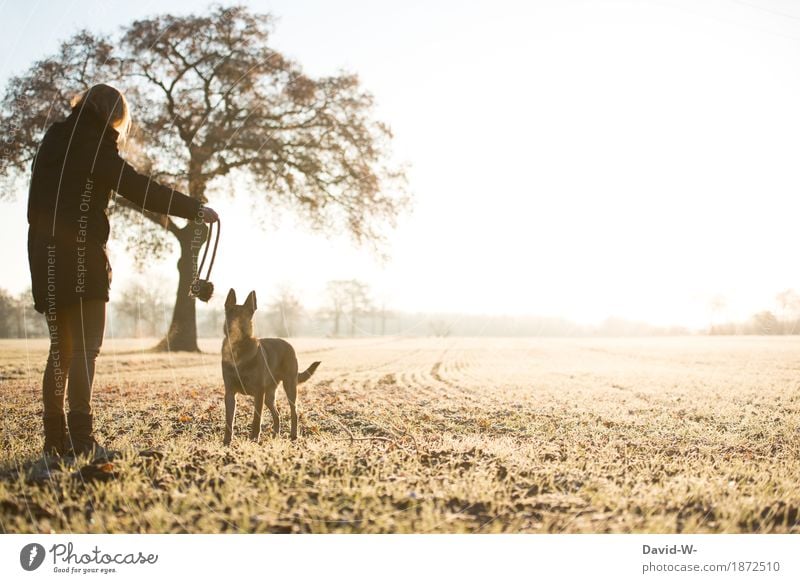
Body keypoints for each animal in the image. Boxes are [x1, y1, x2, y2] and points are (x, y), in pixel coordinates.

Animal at [222, 290, 322, 444]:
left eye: (244, 316)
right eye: (229, 313)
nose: (231, 328)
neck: (239, 350)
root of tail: (287, 344)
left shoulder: (258, 393)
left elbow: (256, 420)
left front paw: (253, 439)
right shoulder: (230, 393)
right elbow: (229, 420)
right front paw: (227, 442)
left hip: (289, 387)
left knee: (294, 412)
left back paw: (293, 435)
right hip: (269, 396)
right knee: (277, 414)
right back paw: (276, 435)